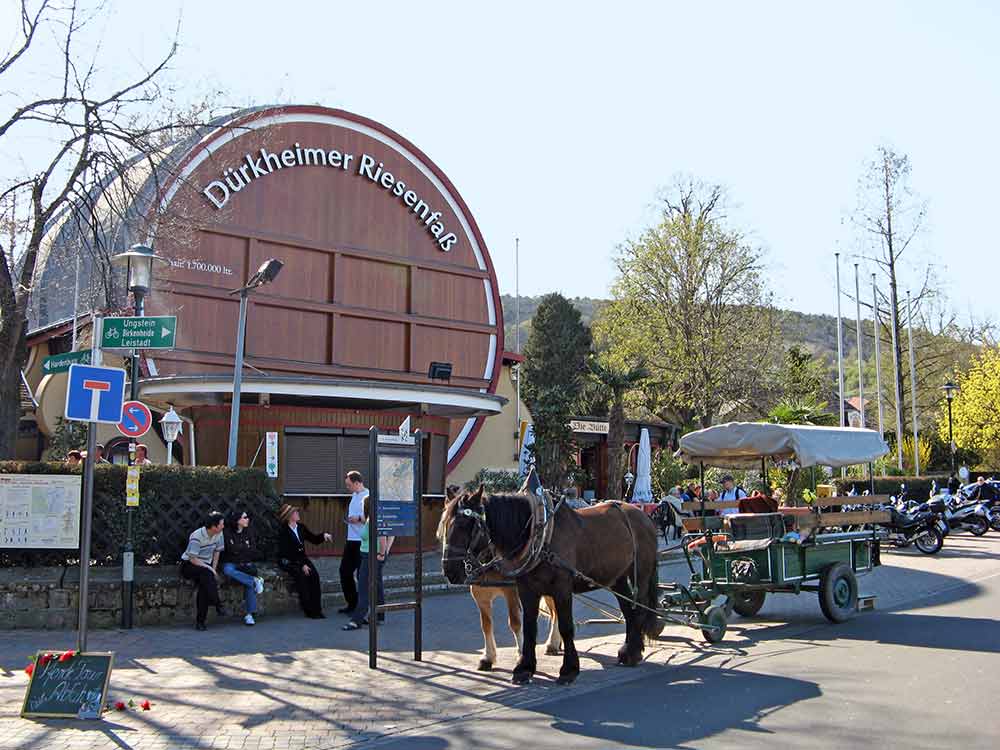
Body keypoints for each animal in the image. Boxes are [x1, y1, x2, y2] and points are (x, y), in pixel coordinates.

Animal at [442, 488, 660, 688]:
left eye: (463, 525)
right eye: (444, 525)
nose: (449, 570)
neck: (539, 536)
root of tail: (644, 517)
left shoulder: (562, 588)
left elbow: (566, 627)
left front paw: (568, 670)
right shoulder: (526, 590)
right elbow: (529, 627)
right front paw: (524, 668)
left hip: (640, 574)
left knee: (639, 609)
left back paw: (634, 652)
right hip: (618, 578)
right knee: (628, 611)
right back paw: (628, 652)